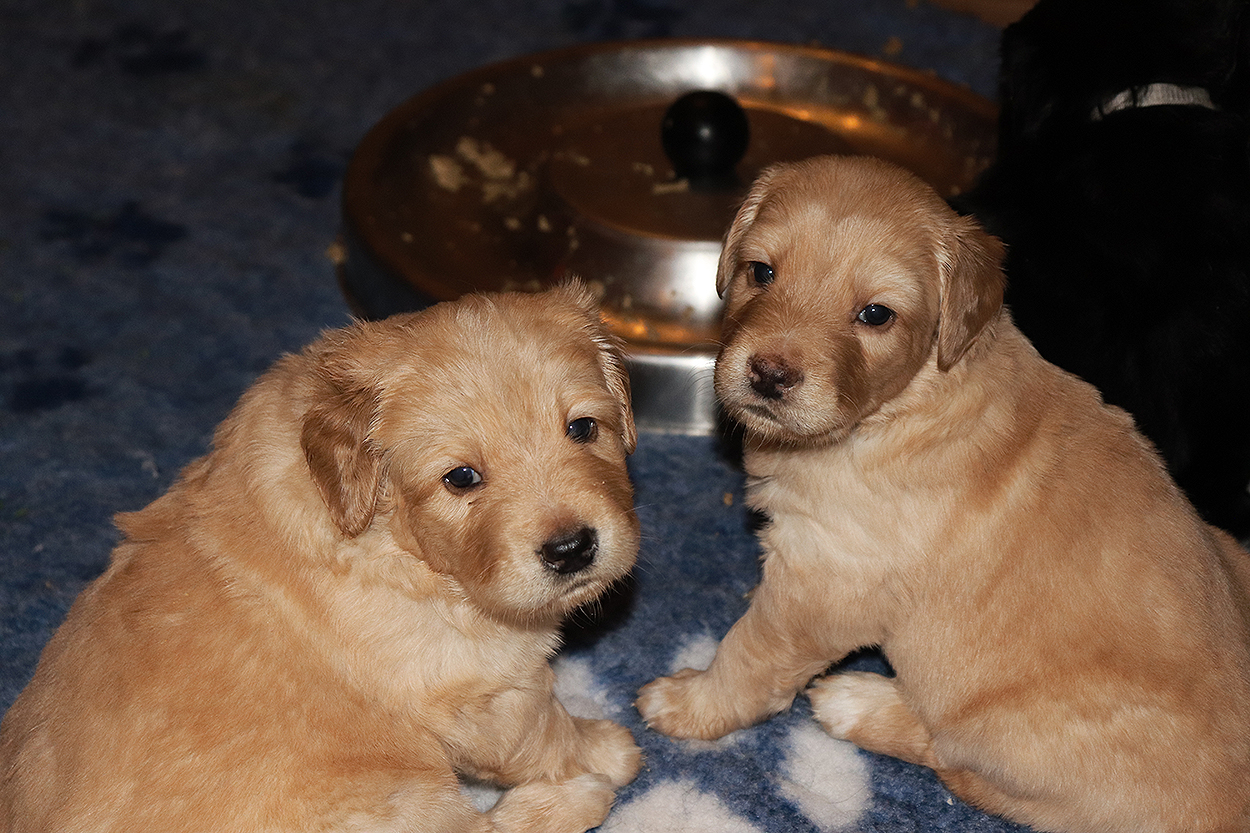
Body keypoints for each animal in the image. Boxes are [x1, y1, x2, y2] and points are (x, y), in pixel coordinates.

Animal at [0, 282, 642, 833]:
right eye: (461, 478)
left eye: (583, 428)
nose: (572, 549)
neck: (384, 535)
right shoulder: (488, 686)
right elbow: (546, 730)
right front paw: (605, 749)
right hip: (401, 798)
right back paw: (581, 797)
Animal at [636, 156, 1250, 833]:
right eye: (761, 272)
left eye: (876, 315)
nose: (769, 375)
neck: (905, 404)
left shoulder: (823, 584)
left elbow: (750, 652)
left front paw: (691, 702)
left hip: (1001, 722)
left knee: (960, 763)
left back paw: (858, 702)